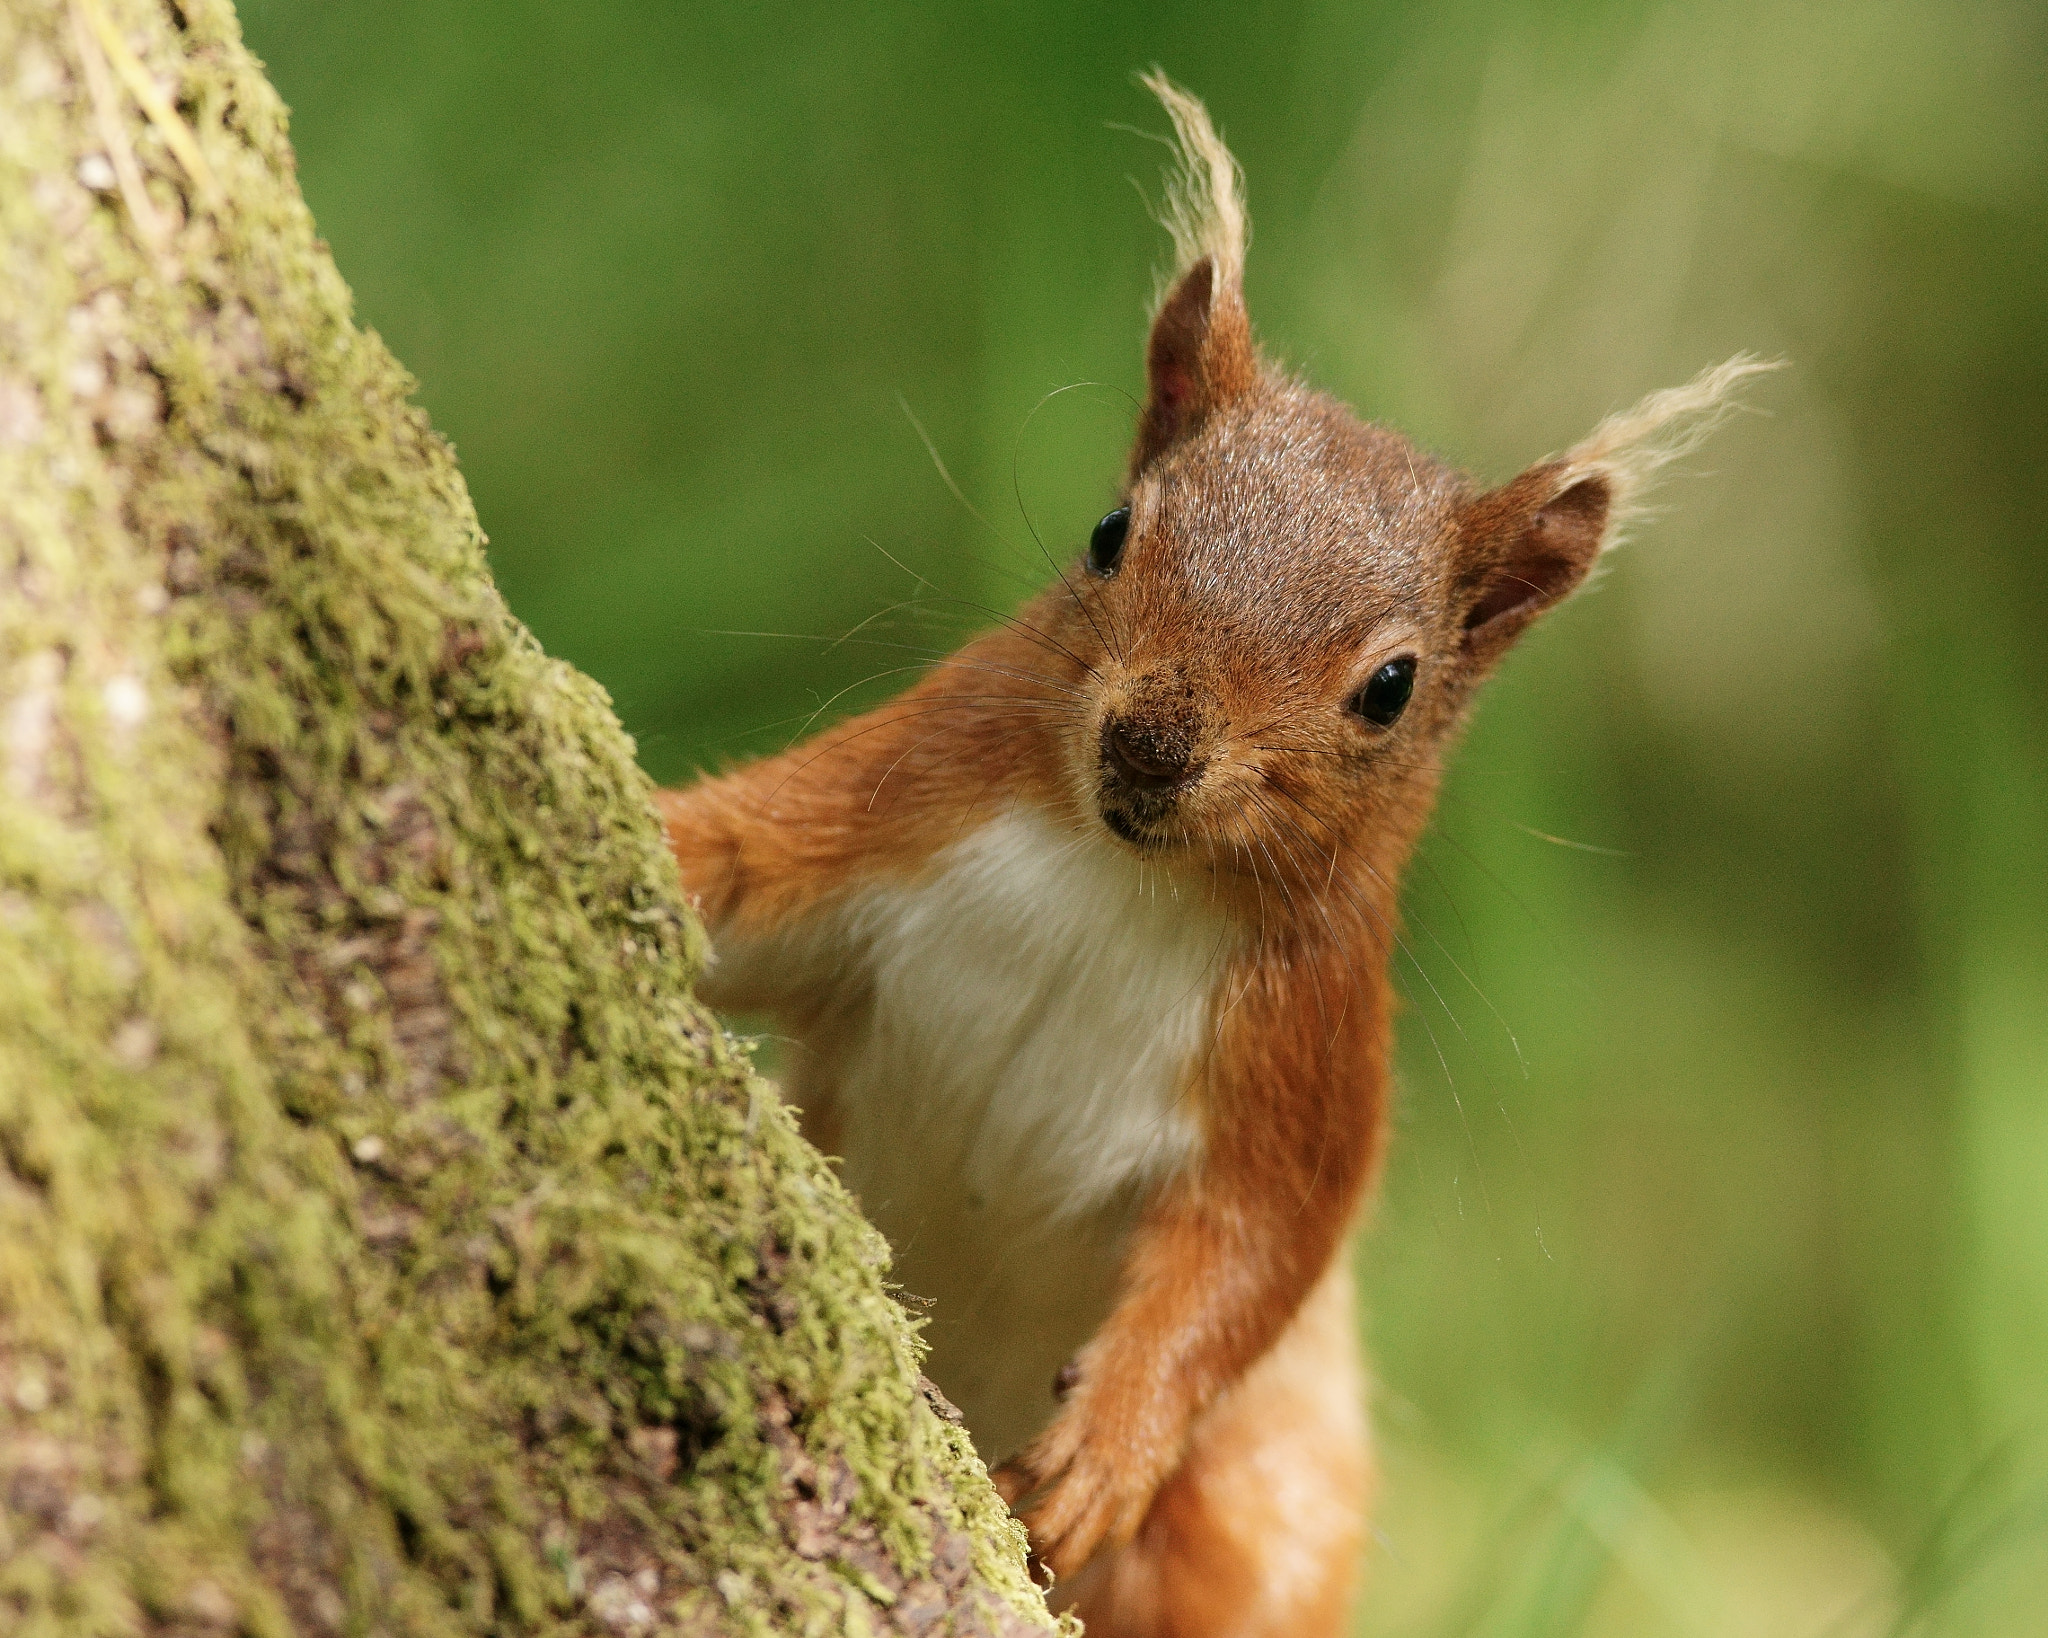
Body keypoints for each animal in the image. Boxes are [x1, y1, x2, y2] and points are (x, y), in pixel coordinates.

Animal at [655, 73, 1761, 1637]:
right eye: (1111, 532)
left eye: (1391, 687)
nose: (1150, 746)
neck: (1118, 881)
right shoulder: (887, 806)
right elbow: (732, 860)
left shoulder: (1304, 1055)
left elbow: (1256, 1253)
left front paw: (1113, 1434)